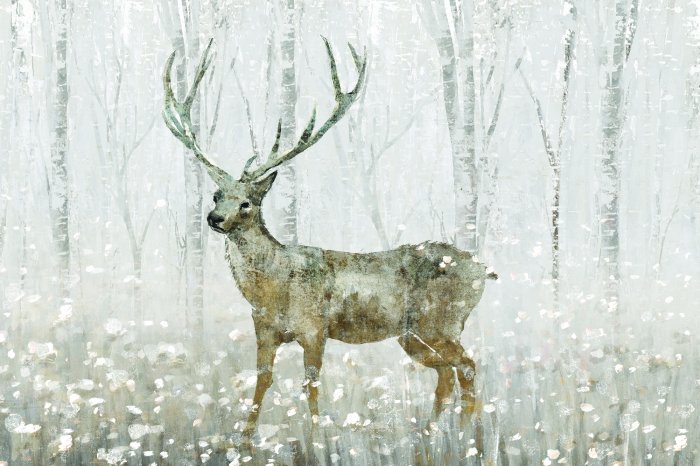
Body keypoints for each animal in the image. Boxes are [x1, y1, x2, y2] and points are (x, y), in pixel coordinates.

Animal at [162, 38, 497, 441]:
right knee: (447, 373)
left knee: (467, 366)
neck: (272, 288)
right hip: (414, 335)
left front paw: (317, 436)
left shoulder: (314, 327)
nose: (214, 219)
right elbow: (262, 380)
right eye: (216, 195)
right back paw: (433, 435)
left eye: (246, 203)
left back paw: (464, 436)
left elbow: (310, 384)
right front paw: (244, 440)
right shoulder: (264, 329)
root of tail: (484, 269)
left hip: (439, 321)